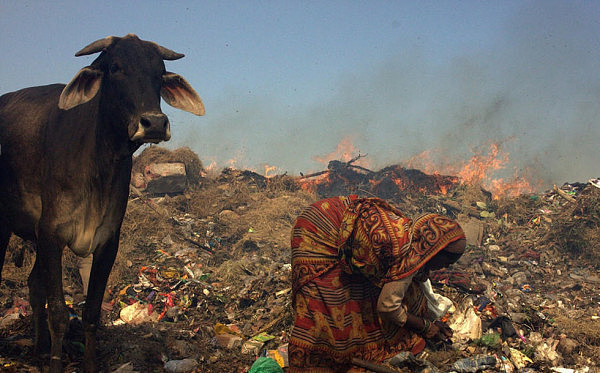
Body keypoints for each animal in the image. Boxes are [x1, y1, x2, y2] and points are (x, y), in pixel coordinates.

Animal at [0, 33, 205, 370]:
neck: (98, 162)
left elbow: (92, 312)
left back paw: (40, 348)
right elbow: (59, 312)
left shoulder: (107, 242)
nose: (154, 123)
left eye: (159, 72)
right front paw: (56, 364)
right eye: (115, 68)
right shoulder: (51, 236)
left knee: (33, 285)